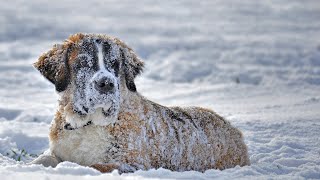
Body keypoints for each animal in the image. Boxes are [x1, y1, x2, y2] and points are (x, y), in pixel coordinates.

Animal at [31, 33, 249, 172]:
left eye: (115, 64)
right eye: (83, 63)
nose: (106, 83)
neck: (88, 124)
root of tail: (233, 130)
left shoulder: (133, 164)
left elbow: (95, 166)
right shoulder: (57, 151)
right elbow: (42, 159)